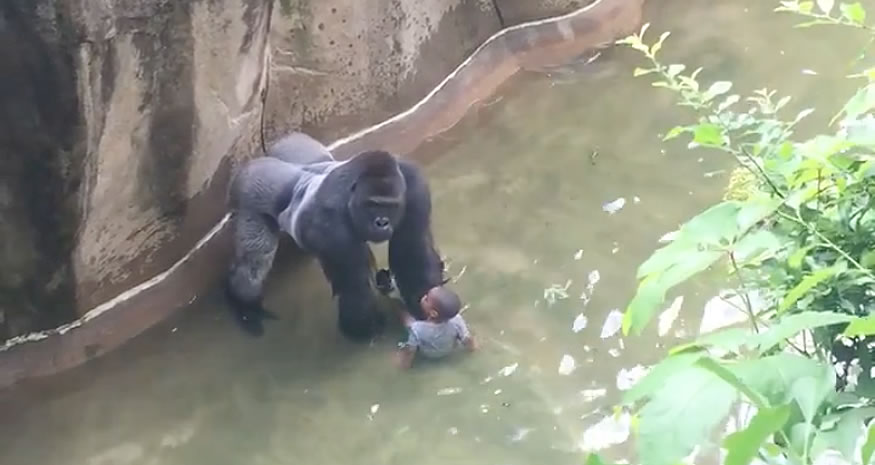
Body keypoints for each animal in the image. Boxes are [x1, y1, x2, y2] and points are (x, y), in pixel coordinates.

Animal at [226, 132, 452, 338]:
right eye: (372, 204)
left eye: (390, 206)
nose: (381, 223)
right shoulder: (329, 222)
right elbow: (354, 284)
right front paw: (362, 330)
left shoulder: (414, 187)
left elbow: (413, 253)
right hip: (252, 188)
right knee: (254, 263)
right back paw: (245, 305)